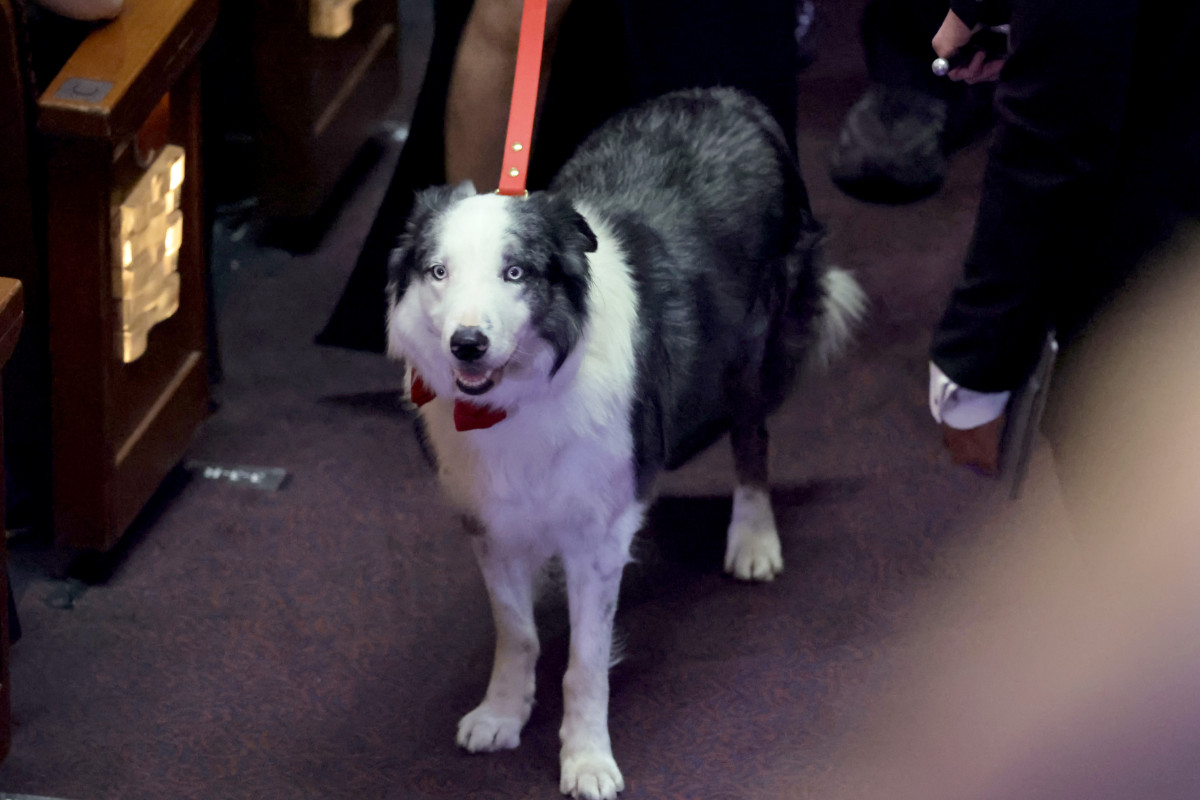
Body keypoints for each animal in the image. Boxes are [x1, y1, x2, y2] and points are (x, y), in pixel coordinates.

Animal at [388, 87, 868, 800]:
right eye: (438, 272)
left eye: (515, 272)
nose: (466, 344)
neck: (521, 399)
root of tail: (730, 97)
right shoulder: (491, 523)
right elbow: (517, 634)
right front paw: (502, 715)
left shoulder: (597, 536)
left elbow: (585, 665)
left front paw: (586, 759)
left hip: (749, 351)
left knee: (752, 439)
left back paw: (753, 539)